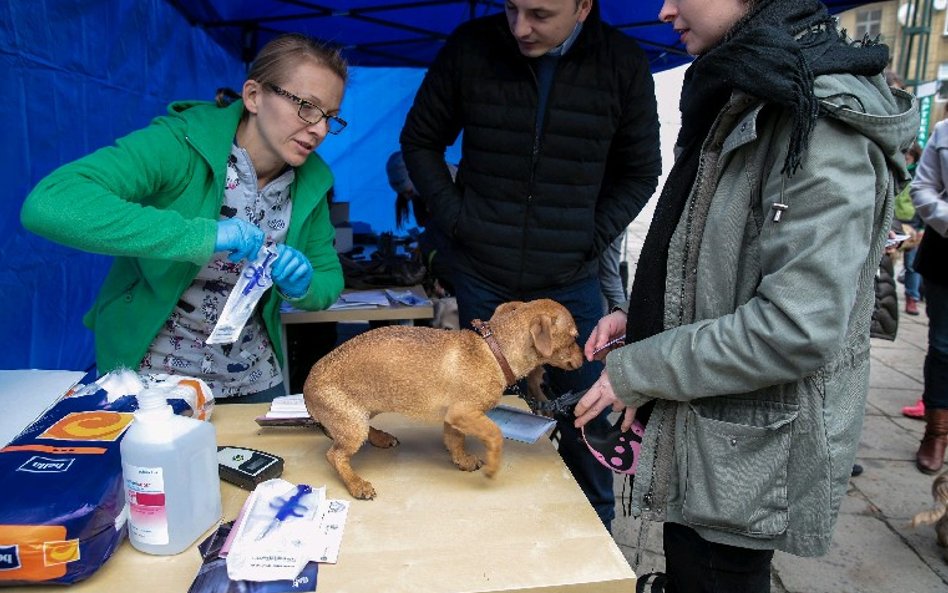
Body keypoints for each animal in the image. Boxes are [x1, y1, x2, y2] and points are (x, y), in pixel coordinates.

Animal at [304, 298, 584, 498]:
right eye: (574, 337)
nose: (585, 359)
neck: (494, 352)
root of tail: (307, 389)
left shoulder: (453, 417)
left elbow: (455, 440)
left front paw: (463, 461)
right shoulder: (465, 413)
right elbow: (494, 434)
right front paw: (493, 466)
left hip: (362, 413)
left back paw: (380, 438)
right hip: (352, 426)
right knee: (335, 456)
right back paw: (356, 484)